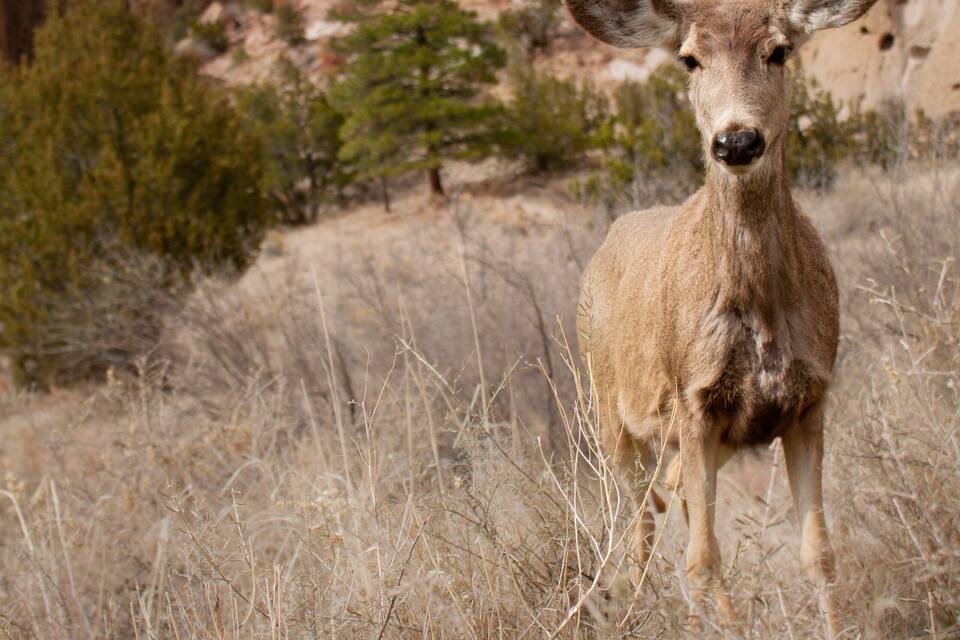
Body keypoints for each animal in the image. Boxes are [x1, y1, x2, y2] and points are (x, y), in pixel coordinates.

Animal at [568, 0, 878, 635]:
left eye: (779, 50)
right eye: (690, 58)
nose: (736, 141)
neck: (760, 313)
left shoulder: (809, 401)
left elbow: (820, 553)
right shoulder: (693, 400)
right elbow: (703, 561)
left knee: (671, 498)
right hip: (607, 411)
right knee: (639, 524)